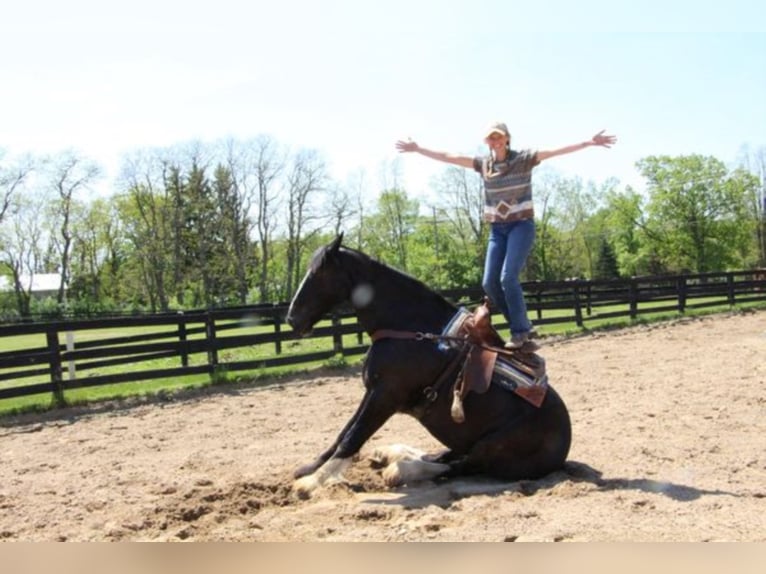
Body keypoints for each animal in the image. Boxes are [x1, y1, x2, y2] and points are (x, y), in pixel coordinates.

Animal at [286, 234, 568, 500]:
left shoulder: (385, 396)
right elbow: (344, 432)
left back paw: (401, 469)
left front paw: (310, 483)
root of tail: (564, 447)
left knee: (458, 465)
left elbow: (353, 436)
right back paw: (390, 453)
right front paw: (309, 470)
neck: (409, 330)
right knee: (444, 456)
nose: (291, 318)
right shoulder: (373, 391)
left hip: (491, 447)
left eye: (318, 272)